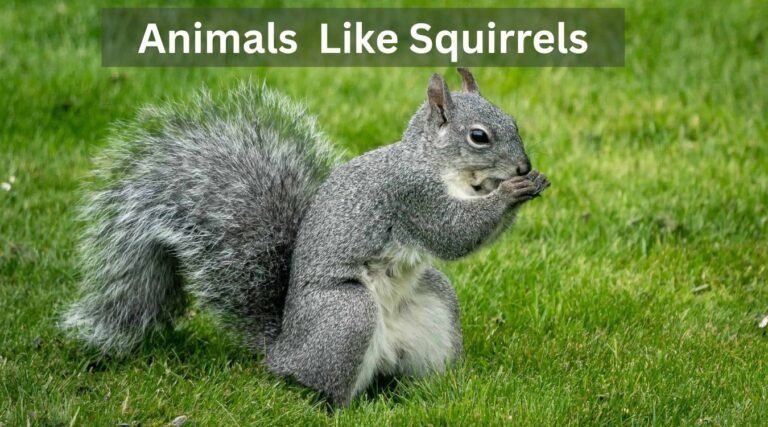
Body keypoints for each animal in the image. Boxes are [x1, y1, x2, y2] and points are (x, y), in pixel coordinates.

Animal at [61, 68, 550, 405]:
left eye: (513, 121)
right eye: (479, 137)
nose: (523, 166)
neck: (438, 165)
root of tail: (282, 349)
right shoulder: (412, 197)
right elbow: (453, 233)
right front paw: (512, 191)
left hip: (433, 302)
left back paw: (438, 390)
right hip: (346, 315)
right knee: (321, 385)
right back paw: (336, 405)